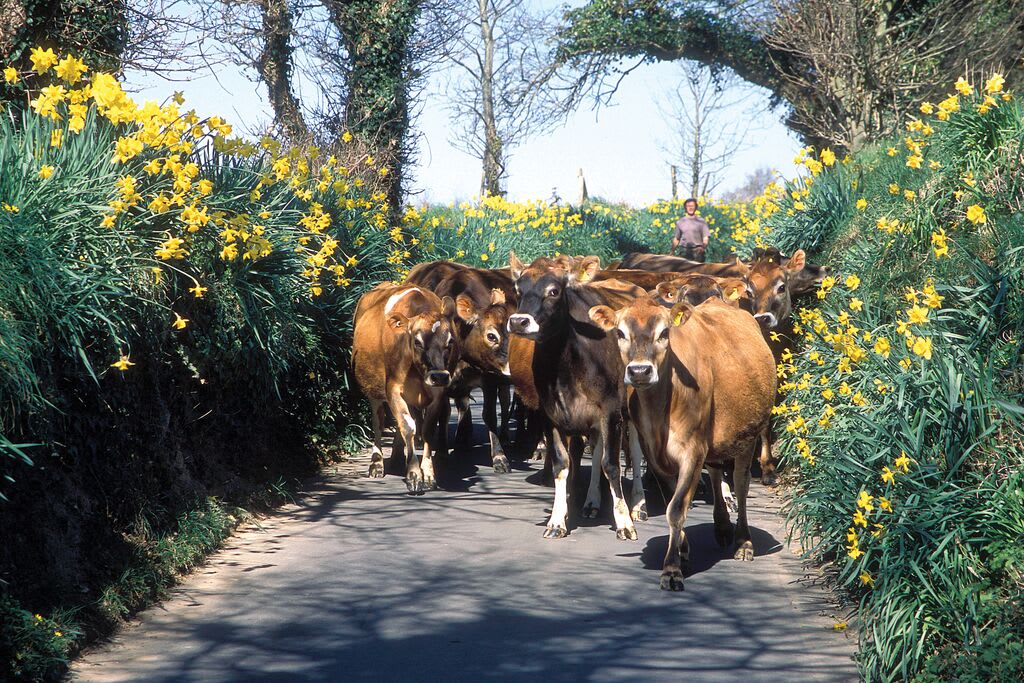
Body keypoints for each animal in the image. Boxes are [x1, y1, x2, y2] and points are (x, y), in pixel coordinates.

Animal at [352, 284, 460, 493]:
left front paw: (428, 473)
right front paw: (413, 475)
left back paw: (396, 455)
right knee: (379, 422)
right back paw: (376, 463)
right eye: (417, 342)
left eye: (450, 341)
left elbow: (426, 430)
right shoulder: (393, 389)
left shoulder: (438, 394)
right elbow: (408, 427)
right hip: (373, 389)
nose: (439, 376)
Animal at [507, 252, 639, 540]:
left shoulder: (611, 411)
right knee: (597, 448)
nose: (519, 321)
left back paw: (638, 506)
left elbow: (611, 464)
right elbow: (562, 464)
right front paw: (557, 520)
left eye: (554, 291)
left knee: (635, 452)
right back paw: (591, 502)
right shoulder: (550, 414)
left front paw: (624, 522)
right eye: (518, 290)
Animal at [588, 297, 776, 591]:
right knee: (716, 472)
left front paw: (671, 569)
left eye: (665, 332)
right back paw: (722, 526)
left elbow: (676, 509)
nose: (640, 371)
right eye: (619, 333)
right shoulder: (655, 457)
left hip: (748, 436)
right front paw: (683, 551)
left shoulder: (693, 451)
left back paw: (743, 542)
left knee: (741, 483)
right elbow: (673, 502)